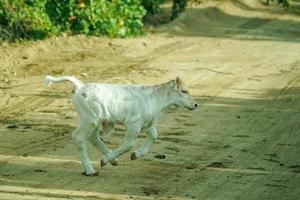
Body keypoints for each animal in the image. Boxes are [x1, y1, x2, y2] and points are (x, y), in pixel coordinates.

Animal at [45, 76, 198, 176]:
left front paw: (136, 154)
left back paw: (111, 161)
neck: (154, 99)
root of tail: (81, 86)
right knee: (78, 138)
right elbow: (129, 144)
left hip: (93, 121)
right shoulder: (133, 125)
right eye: (184, 91)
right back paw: (91, 169)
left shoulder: (146, 123)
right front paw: (105, 160)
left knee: (94, 138)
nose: (195, 104)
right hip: (90, 120)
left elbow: (154, 135)